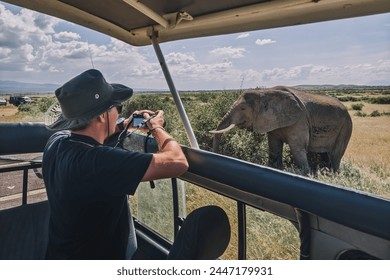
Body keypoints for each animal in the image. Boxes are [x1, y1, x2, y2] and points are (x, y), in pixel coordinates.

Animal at [210, 86, 354, 174]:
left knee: (335, 155)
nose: (216, 154)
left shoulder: (300, 120)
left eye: (243, 108)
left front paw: (304, 174)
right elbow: (274, 147)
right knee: (325, 155)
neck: (265, 92)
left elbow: (298, 149)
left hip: (346, 127)